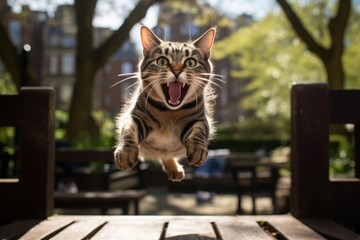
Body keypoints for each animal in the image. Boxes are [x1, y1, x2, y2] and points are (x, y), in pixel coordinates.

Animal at [114, 25, 218, 181]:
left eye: (190, 62)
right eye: (162, 61)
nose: (176, 71)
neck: (169, 113)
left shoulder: (200, 119)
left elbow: (198, 131)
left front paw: (198, 149)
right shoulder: (135, 116)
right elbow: (128, 131)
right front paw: (125, 152)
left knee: (167, 155)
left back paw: (175, 169)